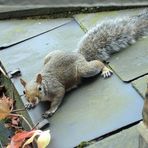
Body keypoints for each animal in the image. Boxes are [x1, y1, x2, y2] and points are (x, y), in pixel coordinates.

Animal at [20, 9, 148, 118]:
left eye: (40, 88)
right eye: (24, 92)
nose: (32, 100)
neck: (45, 83)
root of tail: (78, 54)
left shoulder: (57, 89)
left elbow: (57, 98)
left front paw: (50, 110)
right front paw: (29, 104)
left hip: (83, 69)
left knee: (98, 63)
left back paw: (105, 70)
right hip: (48, 57)